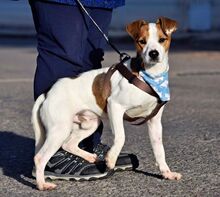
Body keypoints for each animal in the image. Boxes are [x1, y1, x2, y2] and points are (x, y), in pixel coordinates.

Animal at [31, 17, 182, 191]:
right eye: (142, 41)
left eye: (162, 40)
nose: (153, 54)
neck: (149, 77)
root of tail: (47, 93)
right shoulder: (115, 106)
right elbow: (121, 136)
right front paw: (111, 158)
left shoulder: (154, 121)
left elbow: (159, 150)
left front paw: (166, 172)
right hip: (59, 129)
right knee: (40, 157)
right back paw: (42, 184)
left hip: (90, 123)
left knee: (69, 144)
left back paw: (90, 157)